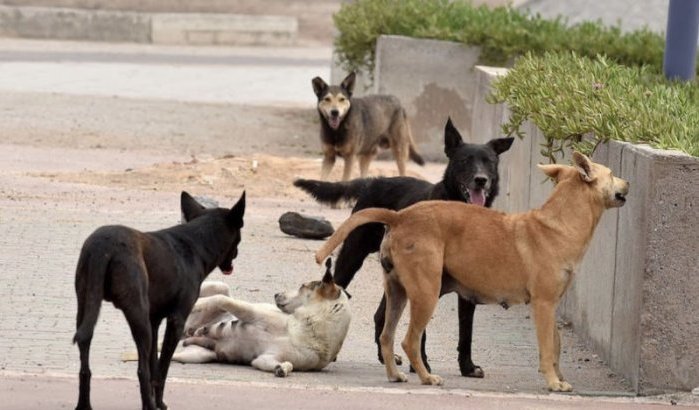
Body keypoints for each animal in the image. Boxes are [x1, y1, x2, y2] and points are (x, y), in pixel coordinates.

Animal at [73, 192, 246, 410]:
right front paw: (159, 403)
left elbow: (154, 366)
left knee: (85, 362)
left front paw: (158, 400)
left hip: (85, 306)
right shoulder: (176, 321)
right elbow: (161, 369)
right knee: (141, 371)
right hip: (138, 315)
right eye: (239, 236)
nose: (237, 254)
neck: (197, 242)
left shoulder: (154, 320)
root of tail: (103, 246)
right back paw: (148, 405)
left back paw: (84, 404)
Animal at [173, 260, 352, 378]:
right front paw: (198, 303)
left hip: (196, 354)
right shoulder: (253, 313)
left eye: (302, 286)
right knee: (217, 291)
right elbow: (221, 300)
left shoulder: (266, 357)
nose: (276, 294)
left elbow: (285, 364)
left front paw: (282, 368)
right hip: (220, 286)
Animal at [296, 118, 516, 378]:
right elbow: (421, 332)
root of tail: (374, 180)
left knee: (381, 316)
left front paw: (467, 367)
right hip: (353, 255)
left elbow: (466, 331)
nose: (481, 180)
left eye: (489, 162)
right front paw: (422, 365)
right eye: (464, 161)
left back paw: (385, 357)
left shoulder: (467, 287)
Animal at [314, 153, 632, 390]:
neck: (560, 223)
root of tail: (401, 216)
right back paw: (427, 377)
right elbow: (547, 347)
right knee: (409, 340)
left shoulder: (551, 305)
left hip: (398, 294)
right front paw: (553, 382)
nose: (628, 182)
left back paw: (394, 374)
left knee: (387, 336)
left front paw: (561, 379)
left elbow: (557, 343)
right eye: (612, 173)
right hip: (425, 294)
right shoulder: (543, 305)